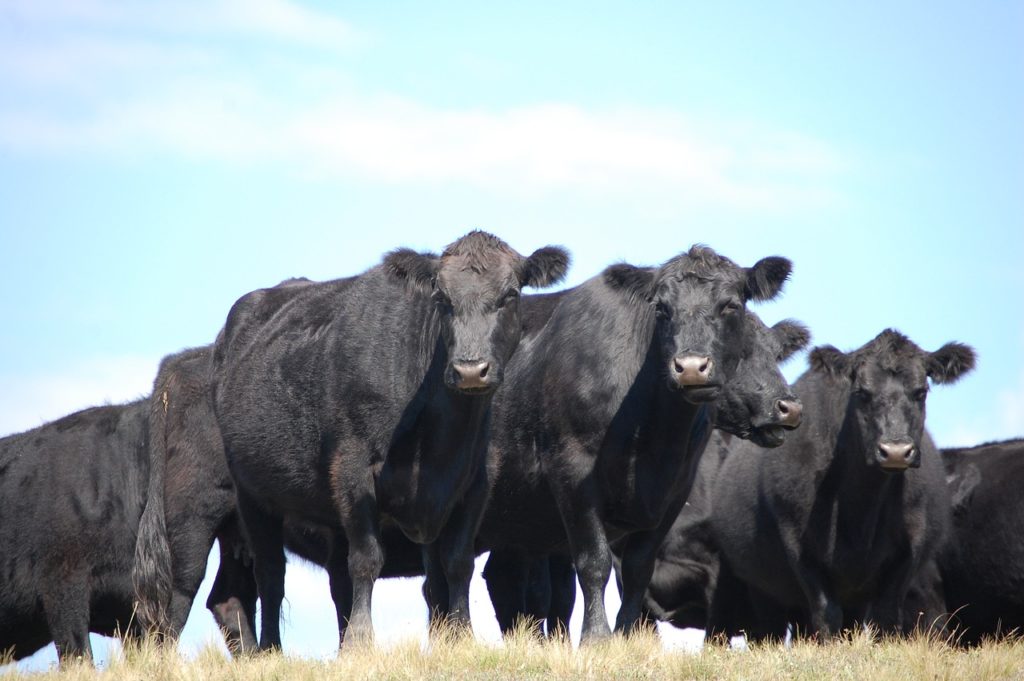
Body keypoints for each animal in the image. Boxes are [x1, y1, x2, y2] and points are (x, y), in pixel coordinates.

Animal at [211, 229, 573, 647]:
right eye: (441, 298)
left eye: (510, 294)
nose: (470, 370)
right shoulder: (352, 469)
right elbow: (367, 559)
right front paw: (361, 640)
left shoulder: (473, 482)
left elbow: (455, 565)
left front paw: (460, 637)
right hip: (252, 494)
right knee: (271, 575)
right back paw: (271, 648)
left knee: (337, 580)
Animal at [708, 329, 970, 639]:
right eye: (862, 393)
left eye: (921, 392)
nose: (895, 451)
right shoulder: (798, 542)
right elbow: (826, 613)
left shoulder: (910, 547)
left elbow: (886, 614)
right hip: (762, 587)